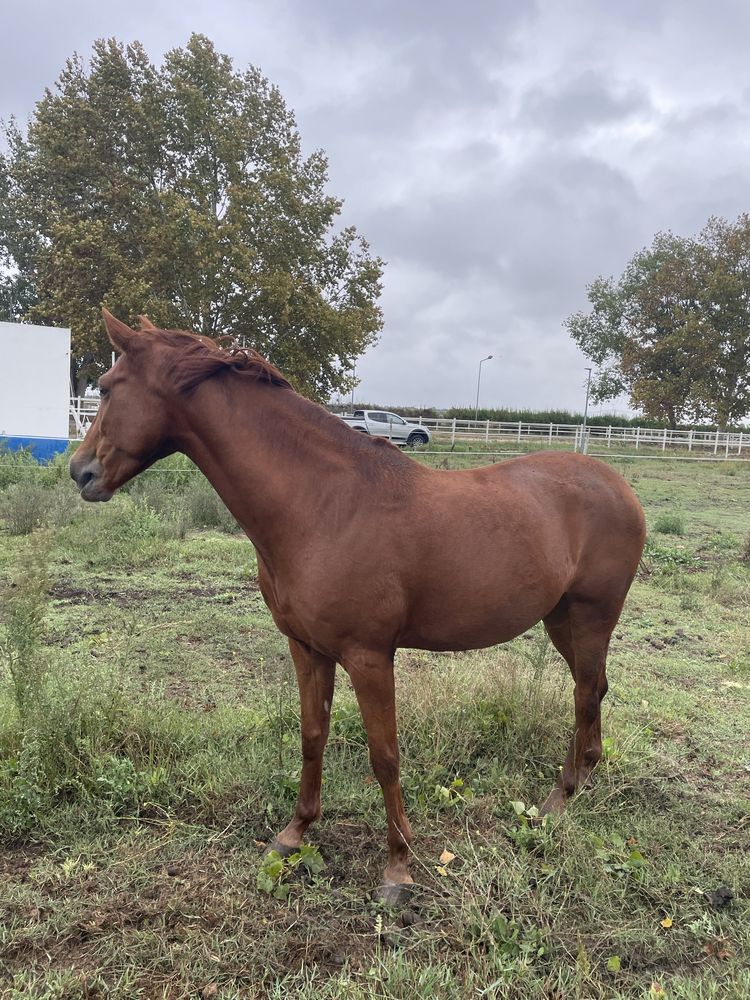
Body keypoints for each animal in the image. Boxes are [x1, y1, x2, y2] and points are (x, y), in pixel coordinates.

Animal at [70, 310, 648, 900]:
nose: (80, 472)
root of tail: (617, 485)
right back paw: (582, 780)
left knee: (584, 694)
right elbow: (312, 737)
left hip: (592, 616)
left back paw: (559, 799)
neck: (323, 505)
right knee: (593, 690)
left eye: (107, 388)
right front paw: (295, 832)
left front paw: (398, 867)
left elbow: (385, 756)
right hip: (560, 620)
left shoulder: (369, 657)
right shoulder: (307, 649)